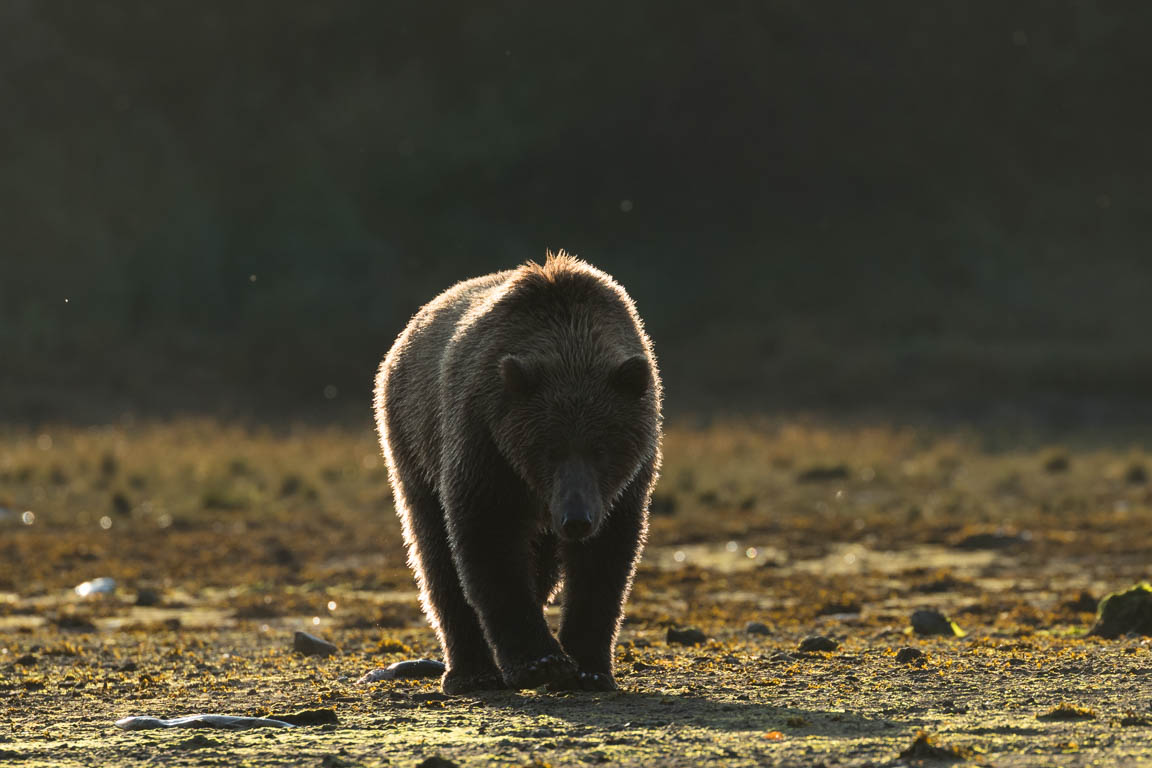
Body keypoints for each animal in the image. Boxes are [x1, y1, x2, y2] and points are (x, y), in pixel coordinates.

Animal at [375, 252, 663, 695]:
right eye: (549, 450)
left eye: (601, 449)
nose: (576, 519)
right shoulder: (486, 443)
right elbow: (489, 543)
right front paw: (540, 662)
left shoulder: (623, 487)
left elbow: (605, 560)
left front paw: (589, 667)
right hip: (413, 445)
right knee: (435, 557)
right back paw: (470, 671)